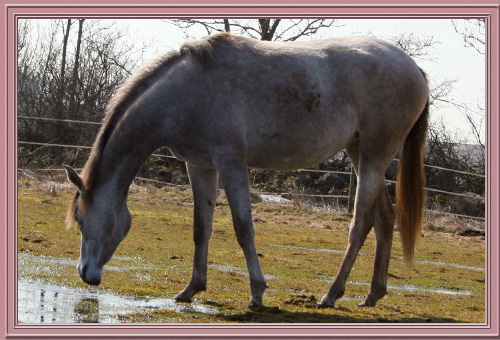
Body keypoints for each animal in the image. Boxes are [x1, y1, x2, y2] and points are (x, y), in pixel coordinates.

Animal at [64, 33, 428, 310]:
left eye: (81, 219)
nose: (86, 274)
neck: (188, 90)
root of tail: (415, 68)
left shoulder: (231, 163)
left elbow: (243, 228)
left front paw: (256, 293)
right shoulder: (200, 166)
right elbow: (201, 228)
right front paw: (191, 288)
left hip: (374, 156)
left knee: (361, 223)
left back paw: (331, 295)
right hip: (360, 152)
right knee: (385, 219)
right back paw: (373, 294)